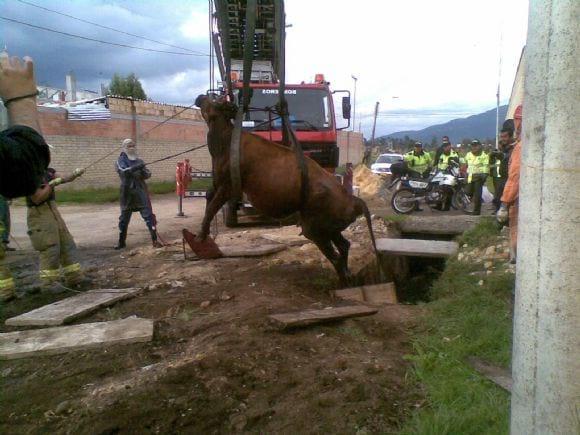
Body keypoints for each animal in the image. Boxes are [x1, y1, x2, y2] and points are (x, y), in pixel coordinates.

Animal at [190, 95, 378, 286]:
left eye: (215, 100)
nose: (200, 97)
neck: (224, 142)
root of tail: (354, 201)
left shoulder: (228, 185)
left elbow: (211, 207)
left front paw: (200, 236)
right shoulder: (218, 182)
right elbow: (208, 196)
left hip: (316, 229)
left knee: (336, 256)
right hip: (330, 229)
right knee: (344, 246)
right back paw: (348, 278)